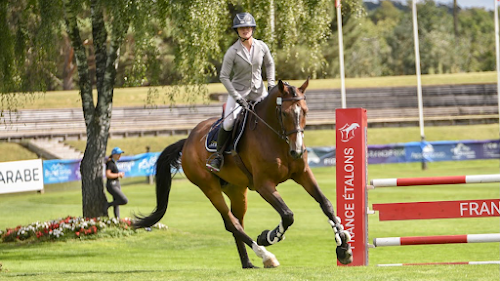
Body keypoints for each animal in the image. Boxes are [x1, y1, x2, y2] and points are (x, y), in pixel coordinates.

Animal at [133, 78, 352, 266]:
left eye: (305, 111)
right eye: (284, 113)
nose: (297, 151)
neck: (278, 139)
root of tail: (187, 141)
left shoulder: (303, 174)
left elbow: (326, 205)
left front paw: (343, 247)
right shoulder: (264, 185)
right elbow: (288, 215)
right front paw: (268, 236)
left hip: (236, 190)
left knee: (237, 221)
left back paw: (248, 263)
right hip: (209, 187)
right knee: (232, 223)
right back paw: (266, 256)